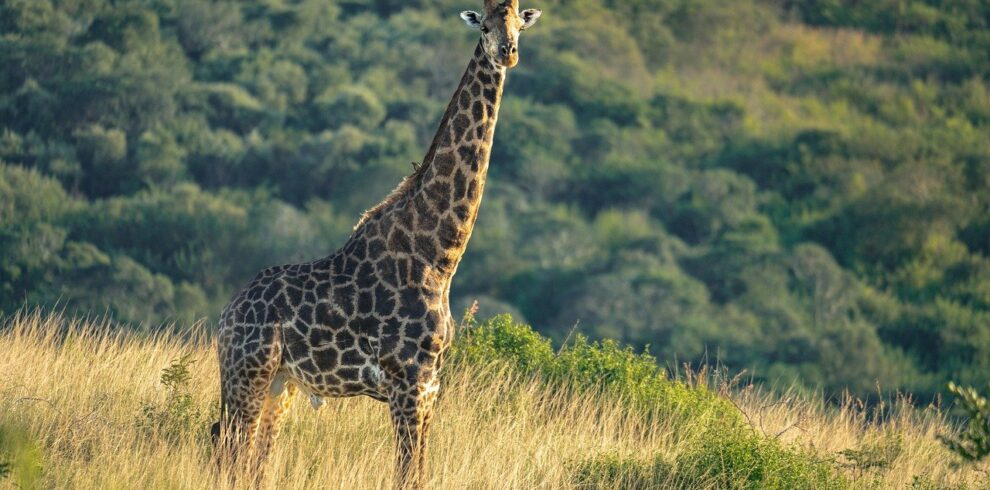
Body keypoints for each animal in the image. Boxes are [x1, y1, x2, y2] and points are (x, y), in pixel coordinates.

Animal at [212, 1, 542, 487]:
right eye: (484, 25)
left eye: (519, 23)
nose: (508, 52)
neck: (438, 255)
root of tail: (227, 314)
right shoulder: (407, 382)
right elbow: (406, 473)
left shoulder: (431, 385)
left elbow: (418, 470)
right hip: (247, 373)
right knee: (230, 450)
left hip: (280, 383)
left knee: (251, 458)